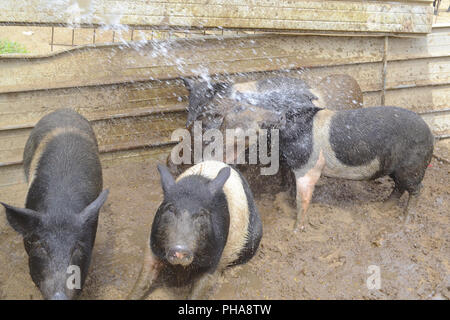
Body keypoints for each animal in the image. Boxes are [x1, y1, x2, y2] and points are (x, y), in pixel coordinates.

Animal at [128, 161, 262, 298]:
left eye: (201, 214)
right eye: (170, 209)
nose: (180, 249)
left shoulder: (215, 257)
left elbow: (200, 289)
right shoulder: (153, 245)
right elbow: (143, 279)